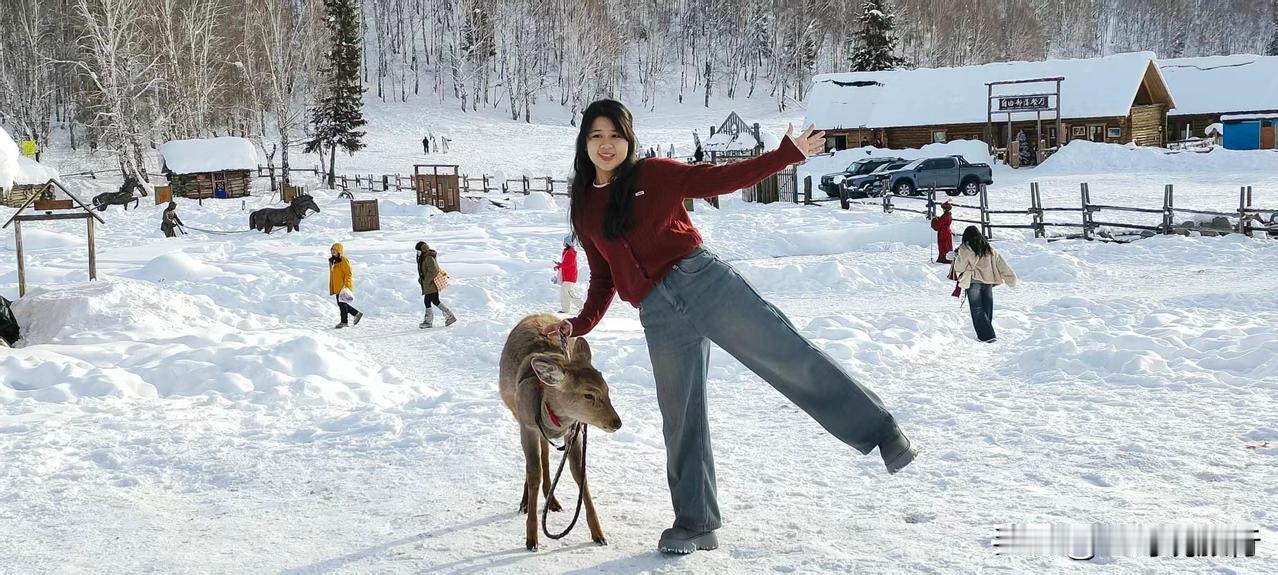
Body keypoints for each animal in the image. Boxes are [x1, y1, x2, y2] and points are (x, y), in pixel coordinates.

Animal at [499, 313, 622, 551]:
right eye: (588, 394)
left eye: (607, 389)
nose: (617, 422)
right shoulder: (527, 426)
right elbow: (533, 472)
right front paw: (531, 538)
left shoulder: (574, 431)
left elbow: (579, 473)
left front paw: (599, 533)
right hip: (516, 413)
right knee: (537, 461)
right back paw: (526, 502)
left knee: (546, 454)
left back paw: (552, 500)